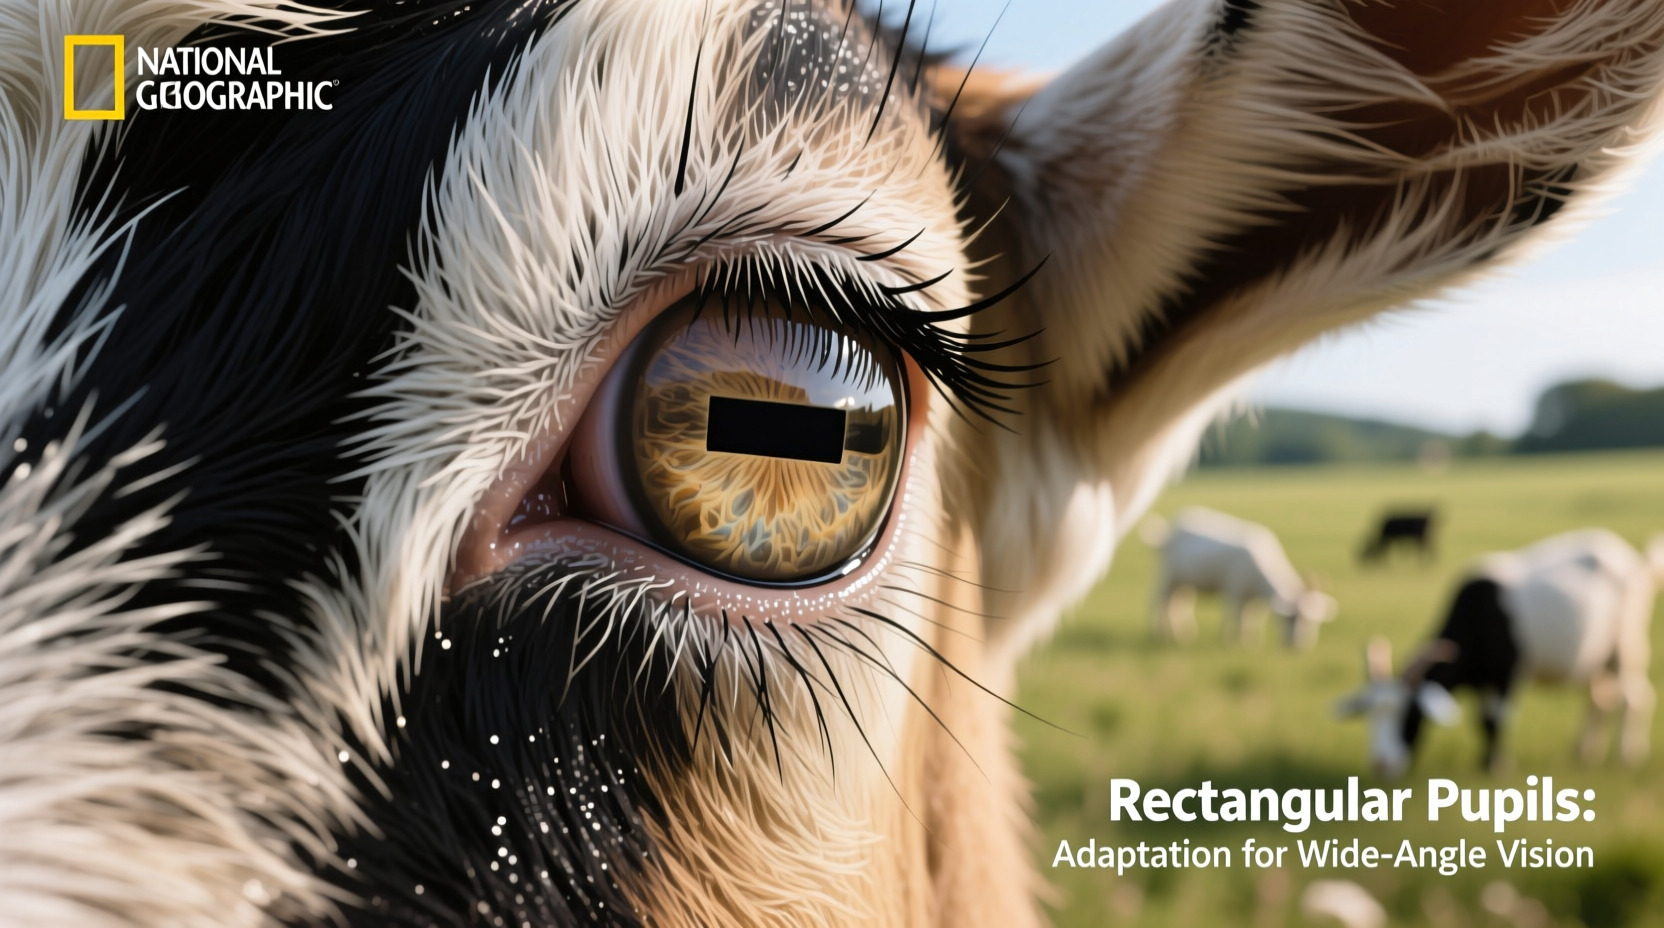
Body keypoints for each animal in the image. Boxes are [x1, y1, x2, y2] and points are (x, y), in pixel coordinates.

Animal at [1145, 508, 1337, 648]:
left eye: (1314, 620)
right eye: (1290, 617)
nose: (1298, 645)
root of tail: (1165, 533)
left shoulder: (1256, 597)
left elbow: (1253, 616)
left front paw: (1252, 641)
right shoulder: (1234, 587)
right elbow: (1235, 614)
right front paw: (1229, 641)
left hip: (1185, 582)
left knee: (1178, 604)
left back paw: (1184, 635)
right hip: (1167, 574)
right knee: (1159, 600)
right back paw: (1159, 634)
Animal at [1337, 530, 1663, 779]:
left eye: (1412, 714)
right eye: (1369, 716)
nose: (1381, 766)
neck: (1476, 616)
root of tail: (1634, 562)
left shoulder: (1507, 674)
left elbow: (1494, 718)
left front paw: (1495, 767)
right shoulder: (1481, 680)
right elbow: (1481, 720)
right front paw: (1486, 762)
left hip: (1627, 644)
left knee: (1634, 698)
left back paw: (1628, 757)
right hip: (1596, 658)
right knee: (1599, 699)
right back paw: (1584, 753)